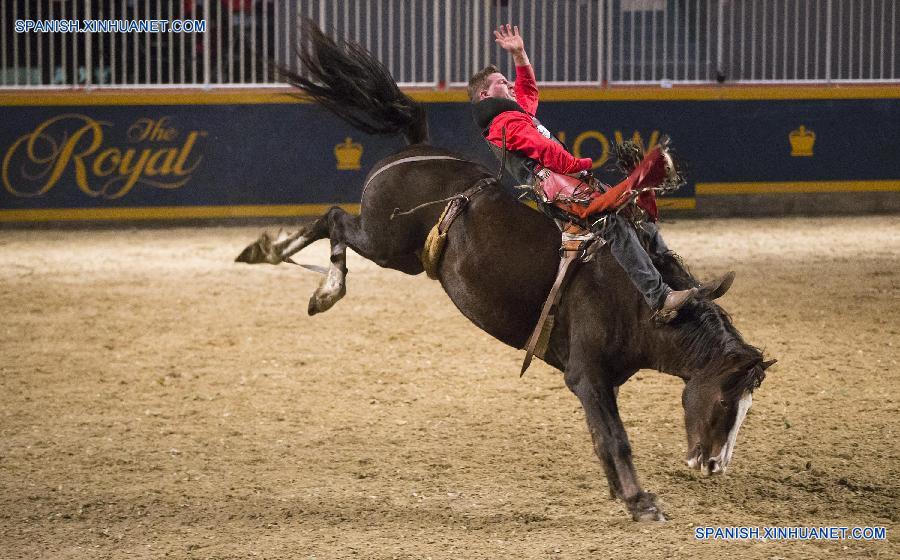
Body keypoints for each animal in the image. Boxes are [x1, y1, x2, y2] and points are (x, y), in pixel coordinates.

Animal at [236, 20, 775, 522]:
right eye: (726, 401)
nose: (713, 465)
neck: (637, 302)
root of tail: (414, 150)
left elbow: (604, 438)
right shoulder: (587, 375)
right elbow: (614, 437)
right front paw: (641, 502)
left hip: (402, 256)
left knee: (333, 223)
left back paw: (270, 255)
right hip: (383, 241)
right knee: (334, 219)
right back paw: (315, 282)